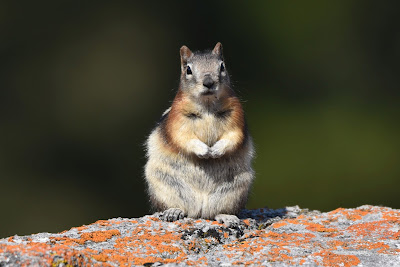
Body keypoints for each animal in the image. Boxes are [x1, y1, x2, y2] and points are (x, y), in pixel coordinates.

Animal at [145, 43, 255, 227]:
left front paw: (216, 151)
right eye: (188, 69)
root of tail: (199, 211)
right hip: (163, 182)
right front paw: (204, 151)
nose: (208, 82)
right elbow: (182, 137)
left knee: (216, 212)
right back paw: (173, 211)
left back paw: (227, 217)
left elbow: (233, 137)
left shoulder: (236, 118)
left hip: (236, 188)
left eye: (222, 66)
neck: (207, 105)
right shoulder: (177, 120)